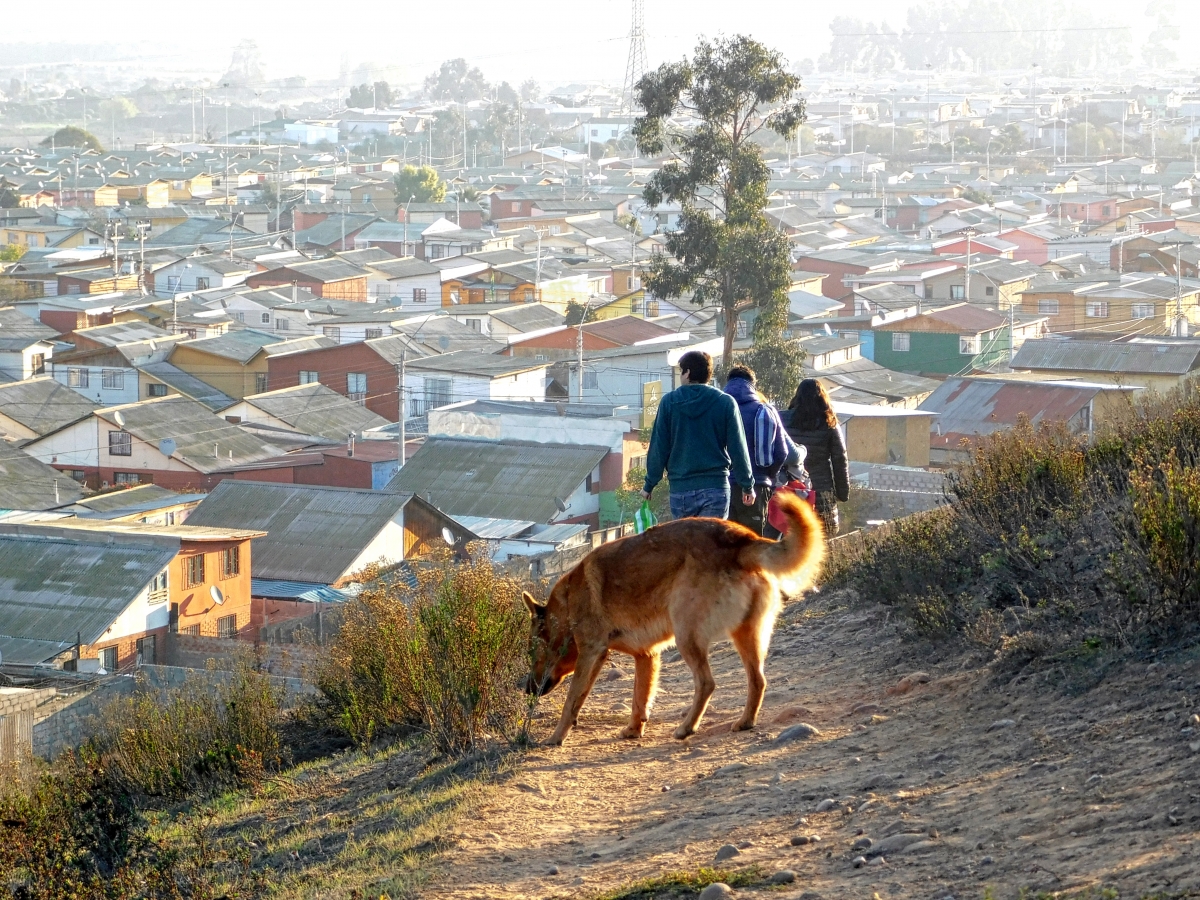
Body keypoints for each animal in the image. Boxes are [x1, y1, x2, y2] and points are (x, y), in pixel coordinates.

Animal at [525, 494, 825, 748]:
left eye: (532, 653)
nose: (527, 689)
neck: (566, 604)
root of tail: (741, 539)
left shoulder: (591, 654)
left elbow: (572, 700)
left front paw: (556, 737)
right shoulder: (646, 656)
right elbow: (639, 698)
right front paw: (634, 730)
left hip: (687, 636)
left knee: (706, 683)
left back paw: (686, 728)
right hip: (746, 636)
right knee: (758, 680)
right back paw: (745, 722)